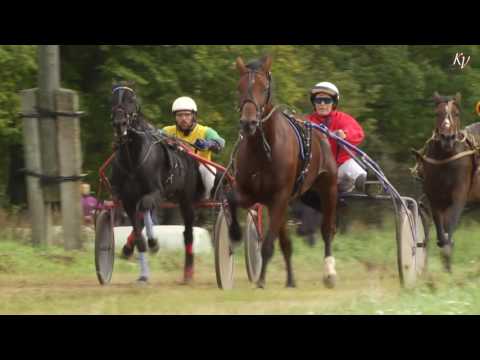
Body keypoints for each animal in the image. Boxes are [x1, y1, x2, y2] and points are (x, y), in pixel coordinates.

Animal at [109, 81, 205, 284]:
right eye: (112, 99)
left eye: (131, 99)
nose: (119, 123)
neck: (133, 160)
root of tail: (186, 151)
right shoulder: (127, 199)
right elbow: (138, 232)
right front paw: (143, 274)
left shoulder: (156, 192)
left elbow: (145, 208)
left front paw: (153, 243)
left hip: (186, 199)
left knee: (188, 233)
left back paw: (188, 273)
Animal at [228, 54, 338, 288]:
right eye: (239, 87)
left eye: (263, 88)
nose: (248, 122)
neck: (263, 149)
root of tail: (320, 130)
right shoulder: (251, 192)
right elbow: (231, 199)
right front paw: (234, 234)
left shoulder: (279, 196)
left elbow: (268, 243)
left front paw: (261, 280)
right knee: (286, 241)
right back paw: (290, 280)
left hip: (329, 187)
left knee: (327, 230)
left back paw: (329, 273)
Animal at [412, 91, 480, 272]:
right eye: (437, 113)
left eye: (456, 113)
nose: (447, 138)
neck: (446, 159)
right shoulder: (435, 198)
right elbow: (441, 228)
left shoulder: (459, 195)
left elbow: (450, 224)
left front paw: (448, 253)